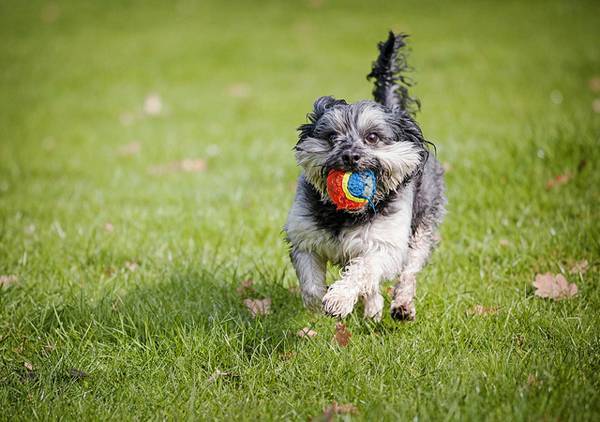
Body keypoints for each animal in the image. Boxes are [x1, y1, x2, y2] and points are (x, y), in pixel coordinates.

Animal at [282, 31, 446, 320]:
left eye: (372, 137)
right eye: (332, 137)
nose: (350, 156)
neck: (344, 214)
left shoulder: (384, 243)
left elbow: (363, 270)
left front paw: (339, 299)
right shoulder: (304, 239)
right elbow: (311, 285)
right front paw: (317, 307)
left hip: (423, 222)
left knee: (410, 269)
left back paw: (401, 306)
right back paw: (373, 308)